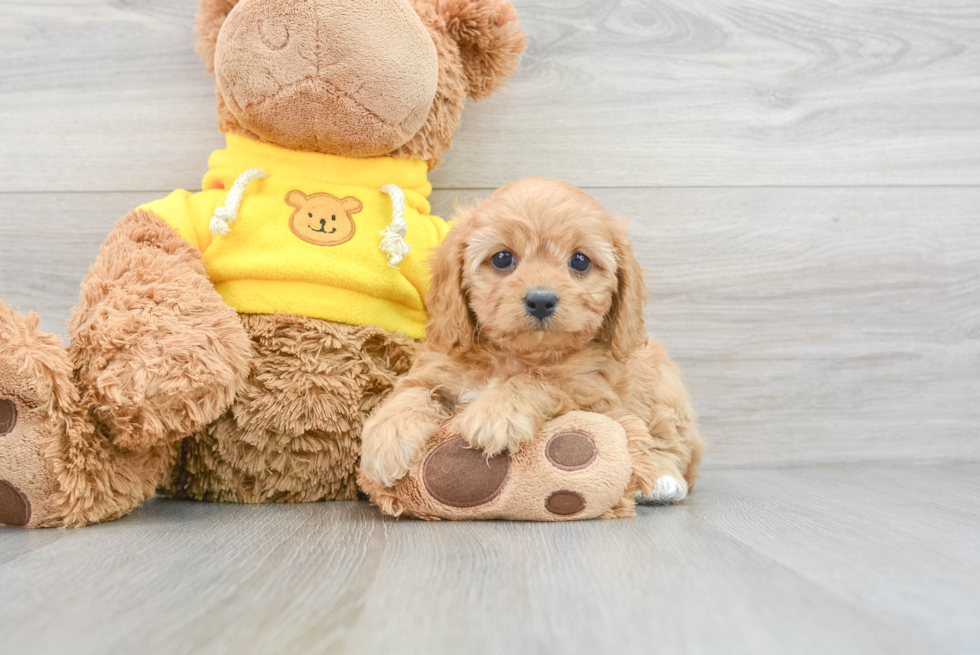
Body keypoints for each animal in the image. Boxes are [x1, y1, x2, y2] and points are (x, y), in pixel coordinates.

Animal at [362, 177, 704, 504]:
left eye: (580, 261)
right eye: (502, 258)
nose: (541, 300)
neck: (516, 354)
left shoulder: (589, 390)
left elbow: (538, 379)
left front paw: (496, 414)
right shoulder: (437, 367)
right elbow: (411, 393)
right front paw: (387, 438)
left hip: (663, 394)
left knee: (675, 445)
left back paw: (661, 480)